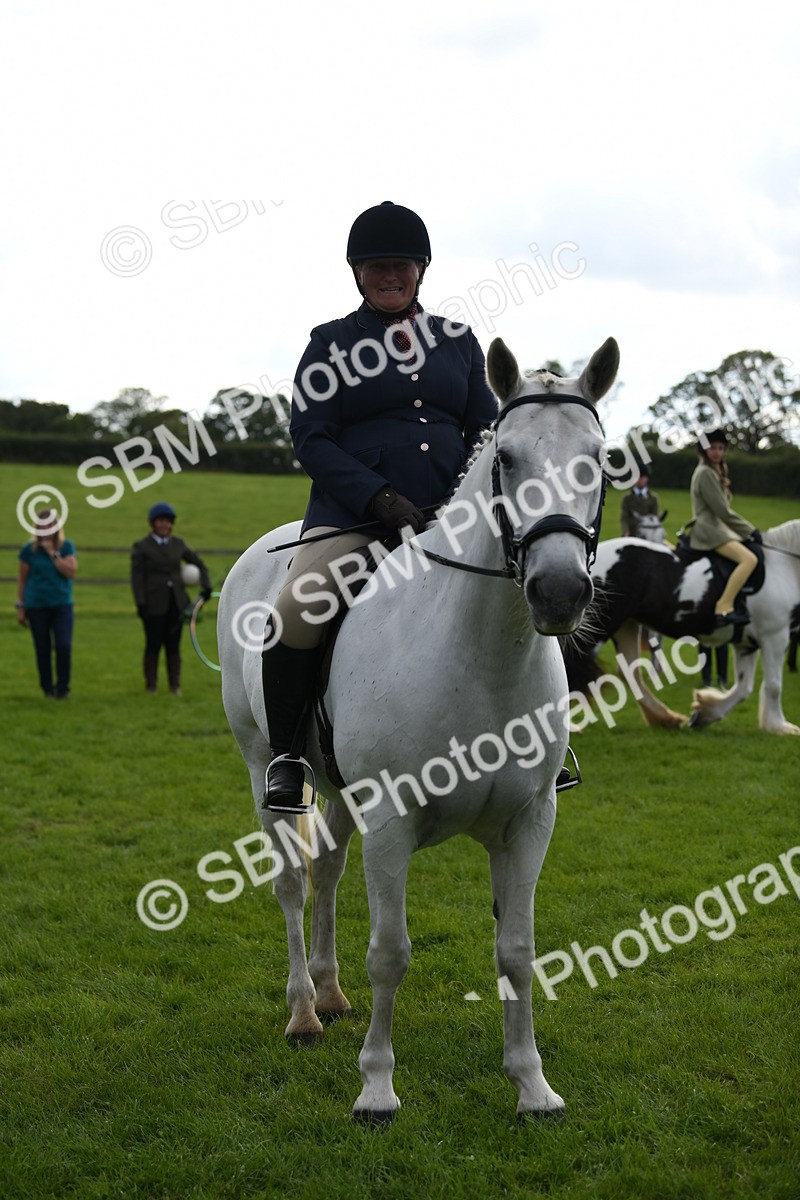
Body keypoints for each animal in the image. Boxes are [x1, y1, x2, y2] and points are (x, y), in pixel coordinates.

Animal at [217, 335, 619, 1123]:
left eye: (598, 458)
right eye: (506, 460)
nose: (559, 592)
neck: (482, 658)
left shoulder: (529, 822)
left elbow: (517, 951)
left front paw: (532, 1086)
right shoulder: (392, 823)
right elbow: (391, 953)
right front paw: (376, 1089)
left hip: (341, 790)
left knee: (326, 869)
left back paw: (330, 993)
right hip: (261, 764)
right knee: (291, 880)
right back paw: (303, 1013)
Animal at [564, 522, 800, 735]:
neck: (783, 566)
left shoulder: (747, 644)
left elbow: (743, 688)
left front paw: (705, 713)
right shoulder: (775, 637)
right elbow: (773, 685)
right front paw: (780, 726)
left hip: (627, 626)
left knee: (631, 673)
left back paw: (666, 718)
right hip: (599, 629)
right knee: (571, 666)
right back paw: (571, 727)